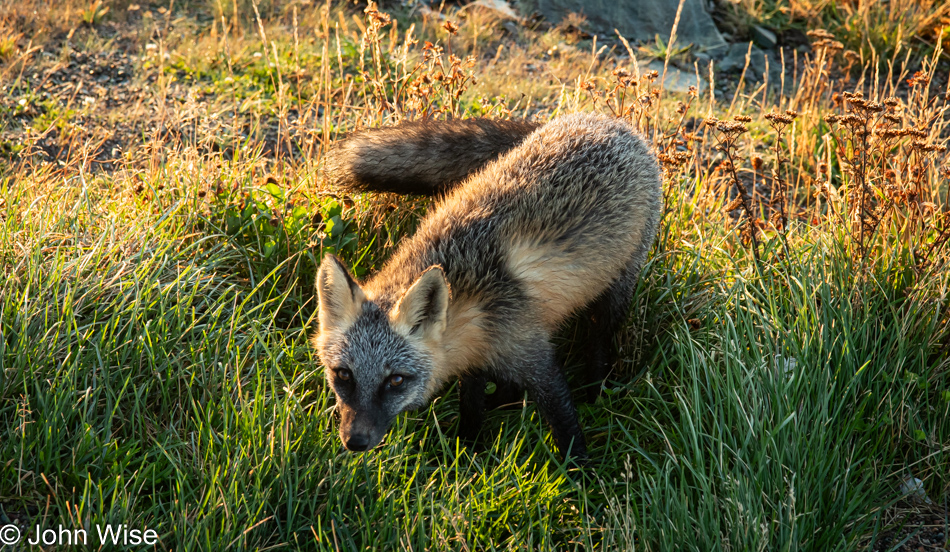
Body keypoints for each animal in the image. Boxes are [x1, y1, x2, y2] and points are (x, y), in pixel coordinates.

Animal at [312, 113, 660, 462]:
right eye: (343, 375)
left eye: (395, 380)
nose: (354, 442)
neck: (470, 293)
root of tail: (600, 119)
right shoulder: (474, 351)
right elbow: (471, 401)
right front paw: (468, 446)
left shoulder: (532, 352)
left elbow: (563, 420)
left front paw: (579, 469)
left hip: (618, 291)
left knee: (599, 340)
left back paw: (595, 391)